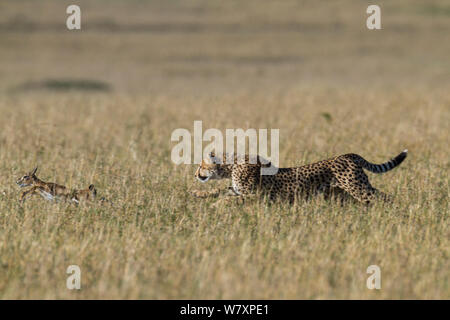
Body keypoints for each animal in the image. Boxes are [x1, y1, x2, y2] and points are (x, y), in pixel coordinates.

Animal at [193, 150, 408, 205]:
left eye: (201, 165)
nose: (196, 174)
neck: (231, 165)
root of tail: (348, 155)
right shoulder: (238, 190)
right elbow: (220, 190)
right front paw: (198, 194)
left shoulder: (257, 195)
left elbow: (229, 198)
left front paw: (217, 205)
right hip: (339, 193)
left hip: (358, 188)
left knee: (383, 198)